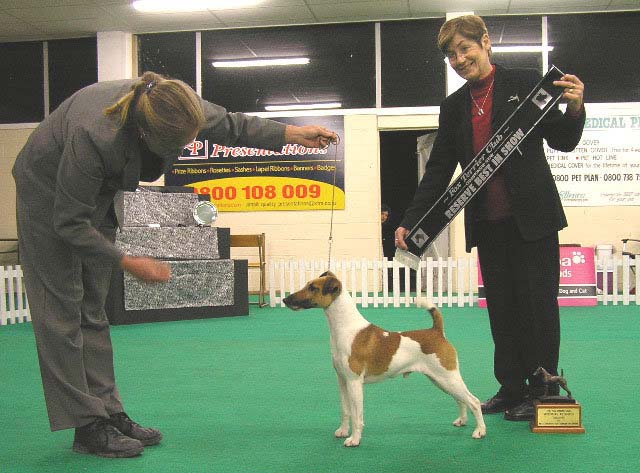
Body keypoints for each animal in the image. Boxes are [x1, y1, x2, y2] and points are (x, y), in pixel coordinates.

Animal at [282, 272, 488, 444]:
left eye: (313, 288)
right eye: (308, 285)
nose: (285, 299)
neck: (345, 328)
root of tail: (437, 332)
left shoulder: (354, 382)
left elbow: (357, 415)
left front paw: (354, 439)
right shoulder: (342, 380)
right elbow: (345, 410)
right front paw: (343, 431)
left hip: (448, 377)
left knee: (473, 401)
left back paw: (480, 431)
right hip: (440, 379)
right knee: (460, 400)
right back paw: (461, 421)